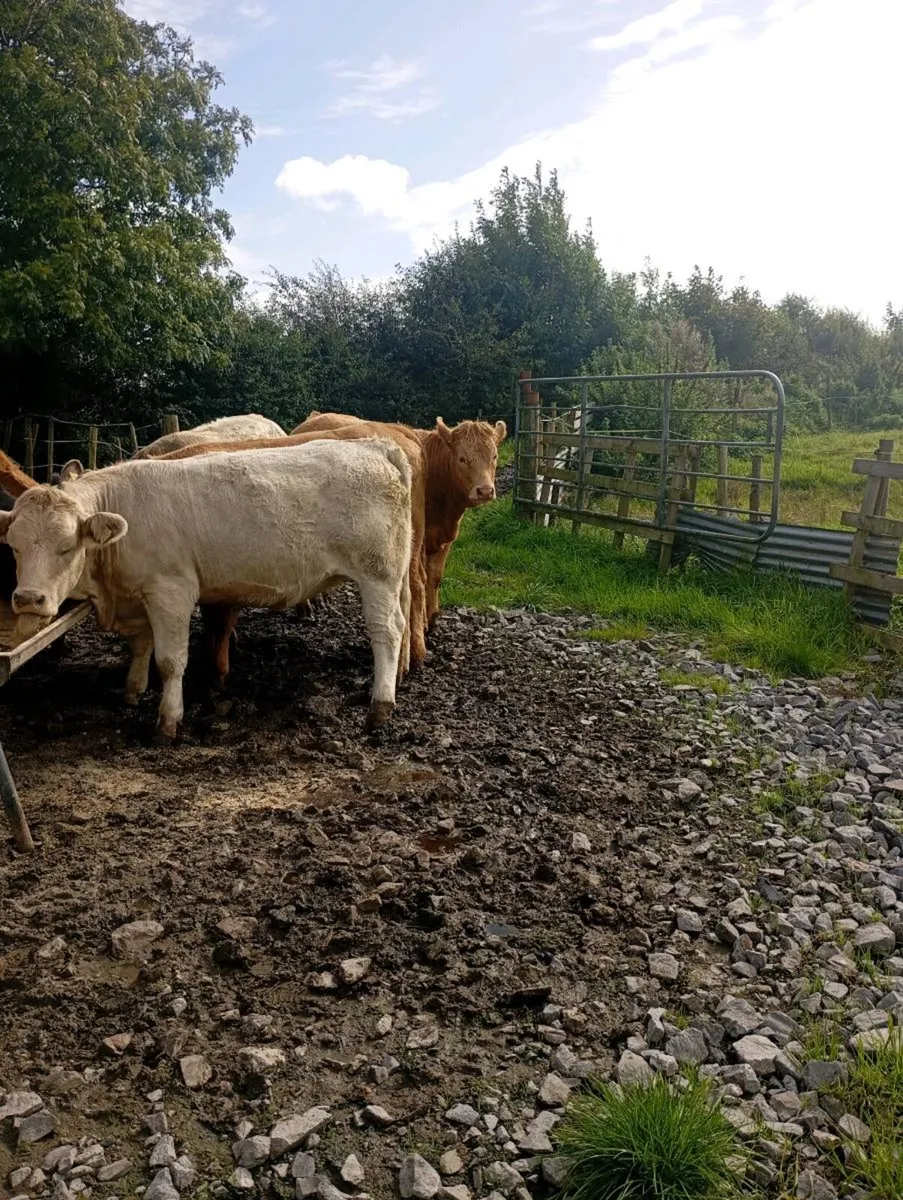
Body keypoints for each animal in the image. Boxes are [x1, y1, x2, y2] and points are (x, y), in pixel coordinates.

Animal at [0, 439, 413, 739]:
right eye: (14, 547)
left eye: (66, 547)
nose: (27, 598)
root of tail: (374, 446)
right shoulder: (140, 595)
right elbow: (141, 646)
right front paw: (133, 690)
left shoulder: (171, 591)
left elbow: (170, 660)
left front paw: (168, 720)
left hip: (378, 575)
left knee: (387, 631)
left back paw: (380, 706)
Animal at [292, 413, 506, 630]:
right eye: (462, 458)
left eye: (494, 456)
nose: (485, 490)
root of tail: (316, 416)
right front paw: (424, 621)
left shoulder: (445, 539)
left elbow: (435, 577)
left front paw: (433, 616)